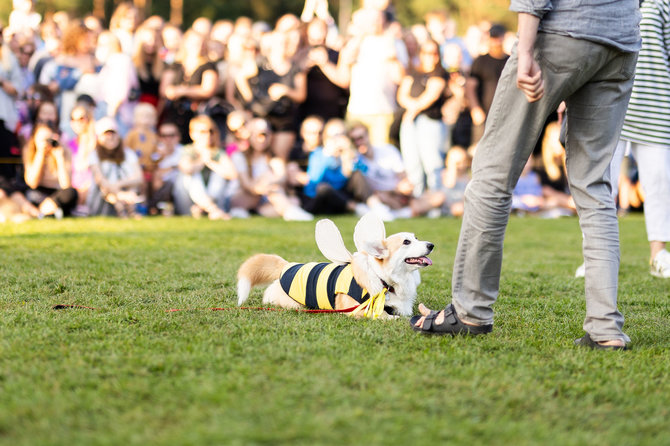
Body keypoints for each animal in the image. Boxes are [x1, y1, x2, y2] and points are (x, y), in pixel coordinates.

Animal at [236, 213, 436, 318]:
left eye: (416, 237)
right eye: (406, 242)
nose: (431, 245)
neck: (386, 279)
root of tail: (285, 266)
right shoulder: (360, 310)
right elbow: (387, 316)